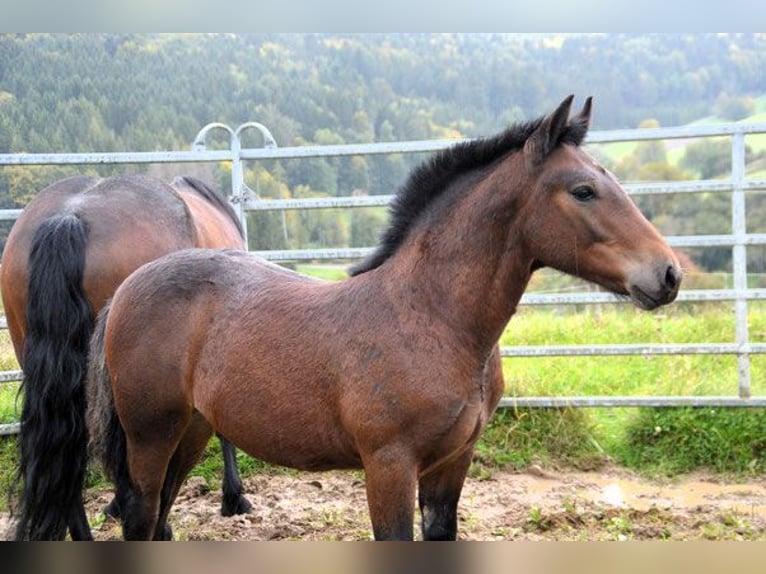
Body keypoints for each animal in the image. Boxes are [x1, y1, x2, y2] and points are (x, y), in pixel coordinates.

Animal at [85, 97, 684, 544]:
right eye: (584, 190)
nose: (668, 274)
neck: (432, 319)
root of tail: (128, 289)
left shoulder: (452, 464)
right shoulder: (389, 466)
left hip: (192, 429)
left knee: (161, 517)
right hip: (150, 432)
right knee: (141, 518)